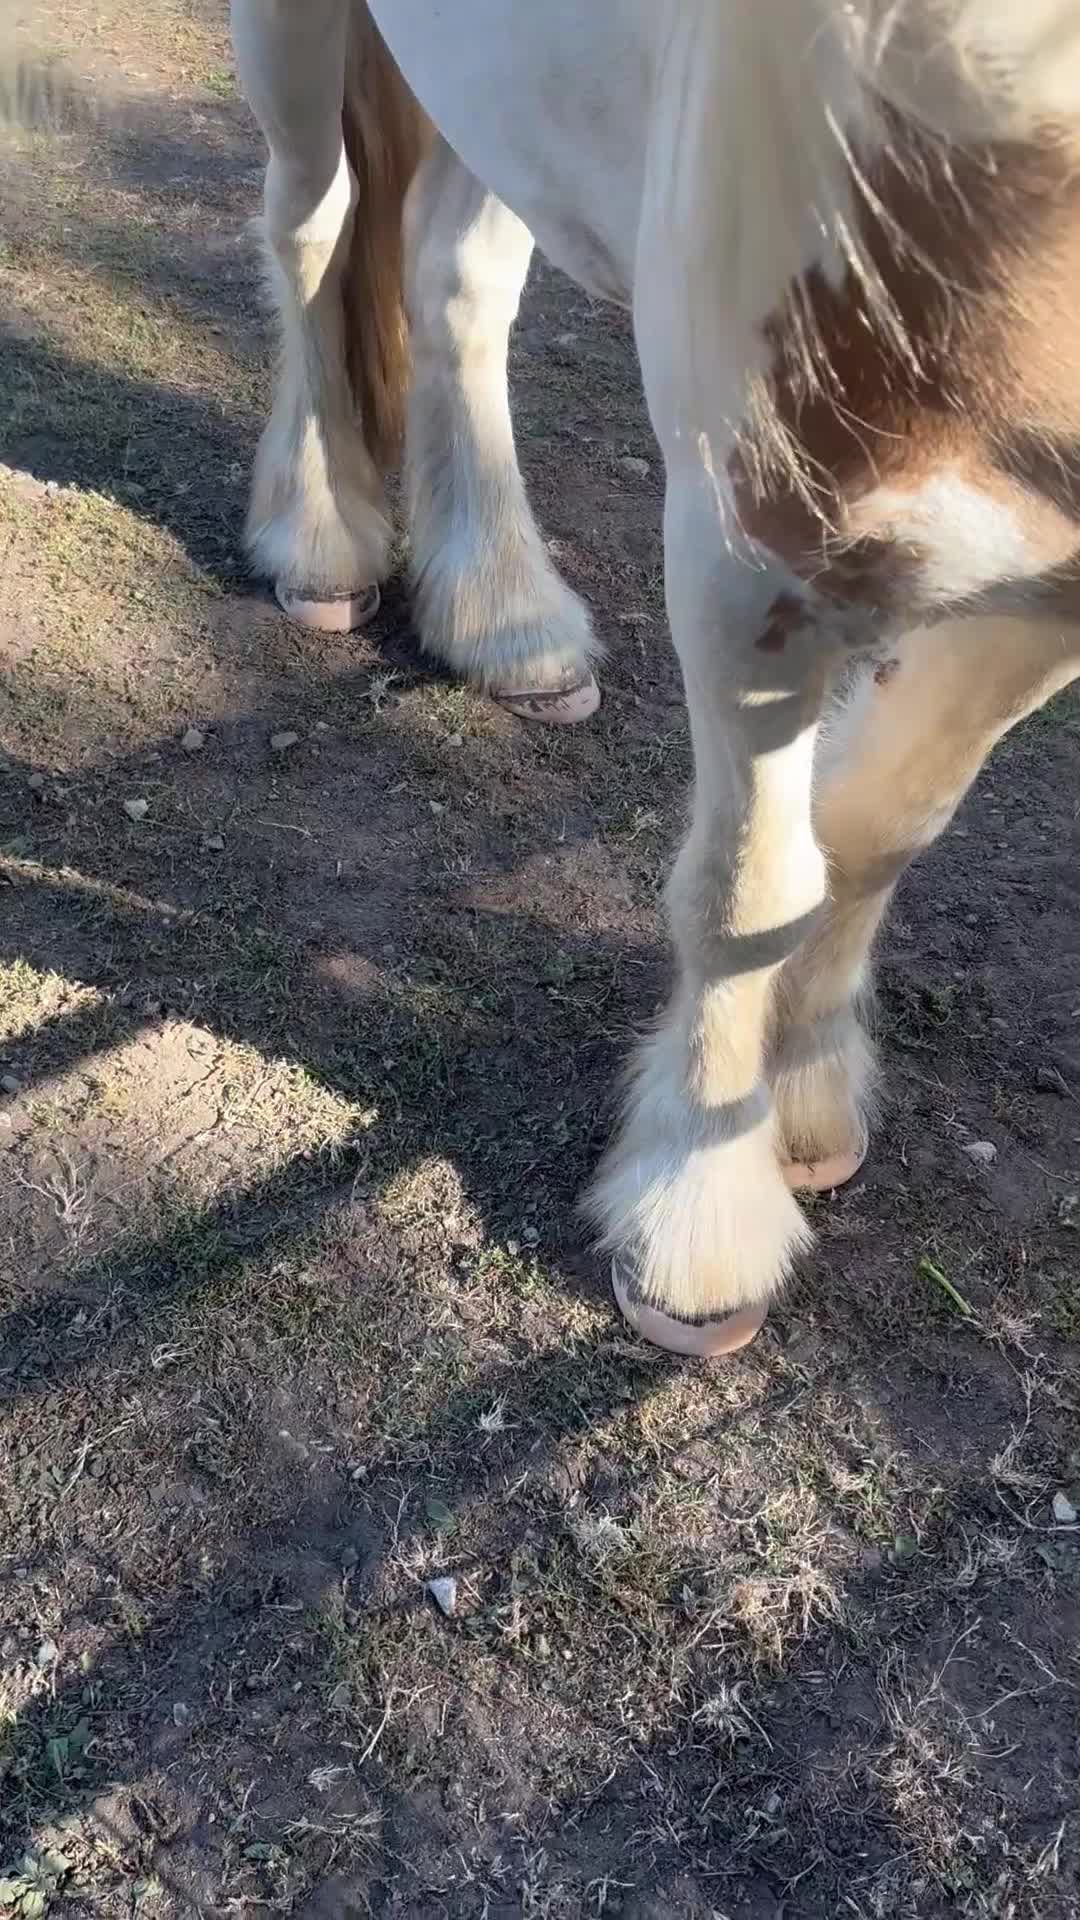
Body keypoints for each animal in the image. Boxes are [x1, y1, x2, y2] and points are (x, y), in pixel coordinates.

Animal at [231, 1, 1080, 1355]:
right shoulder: (753, 543)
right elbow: (751, 892)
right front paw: (698, 1215)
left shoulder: (1045, 575)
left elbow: (879, 825)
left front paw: (804, 1093)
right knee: (313, 214)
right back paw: (317, 538)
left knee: (452, 272)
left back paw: (506, 618)